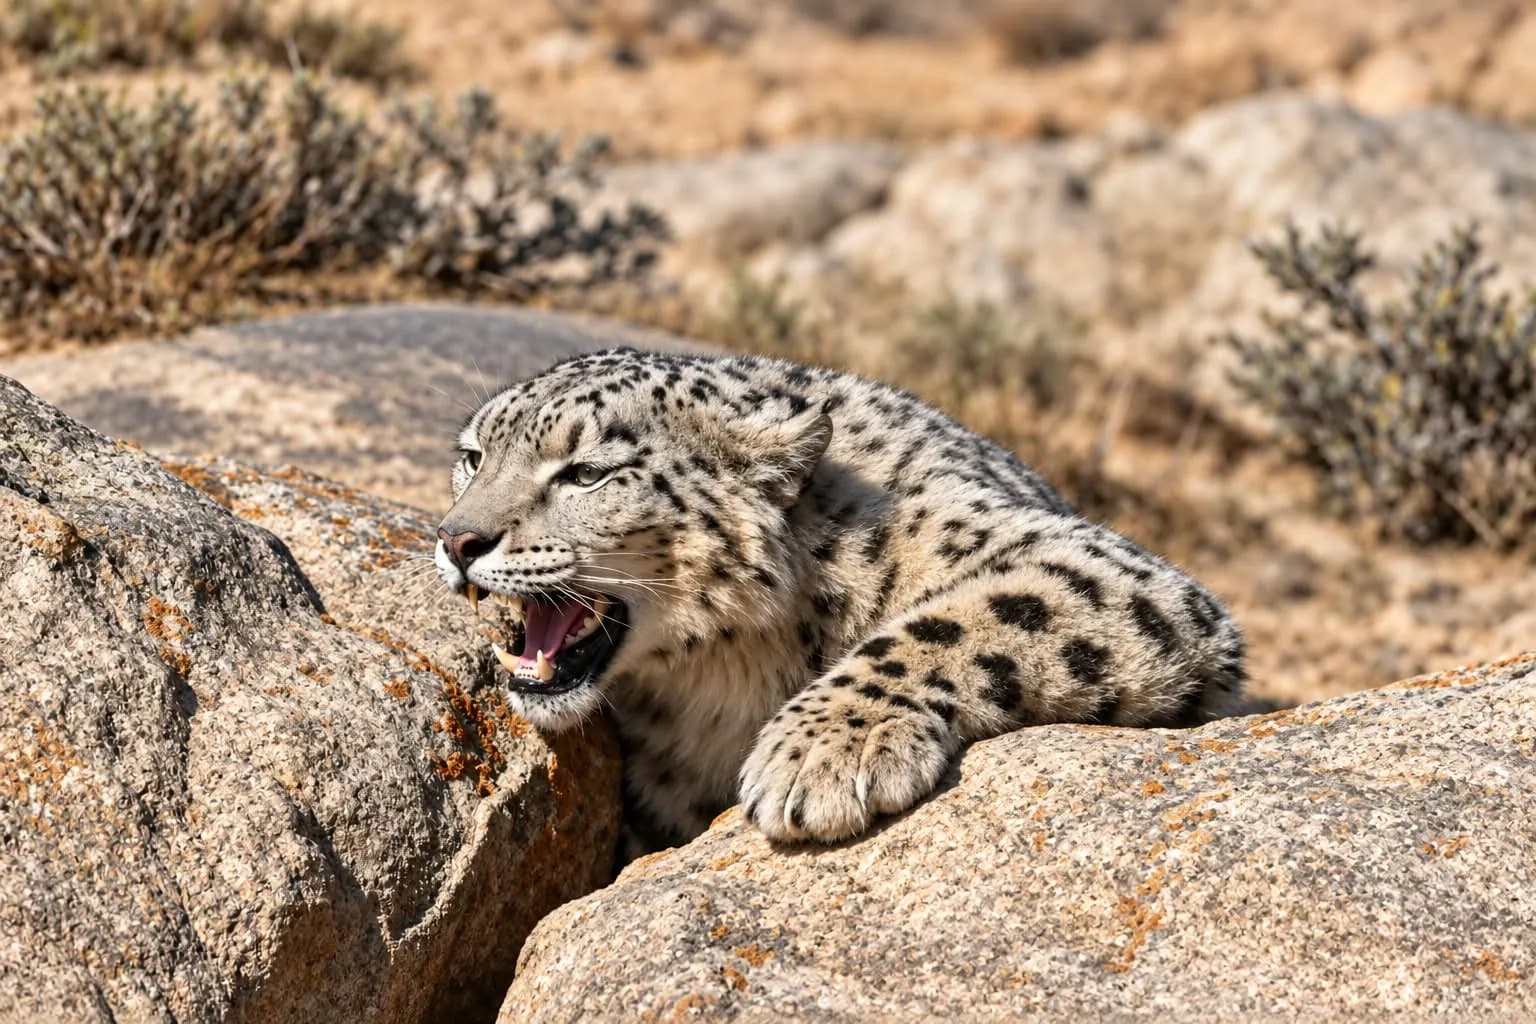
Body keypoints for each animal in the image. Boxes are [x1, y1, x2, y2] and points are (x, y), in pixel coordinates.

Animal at [434, 347, 1244, 860]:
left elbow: (957, 619)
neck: (725, 678)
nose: (457, 539)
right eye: (472, 457)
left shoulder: (1104, 567)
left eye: (587, 473)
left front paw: (819, 753)